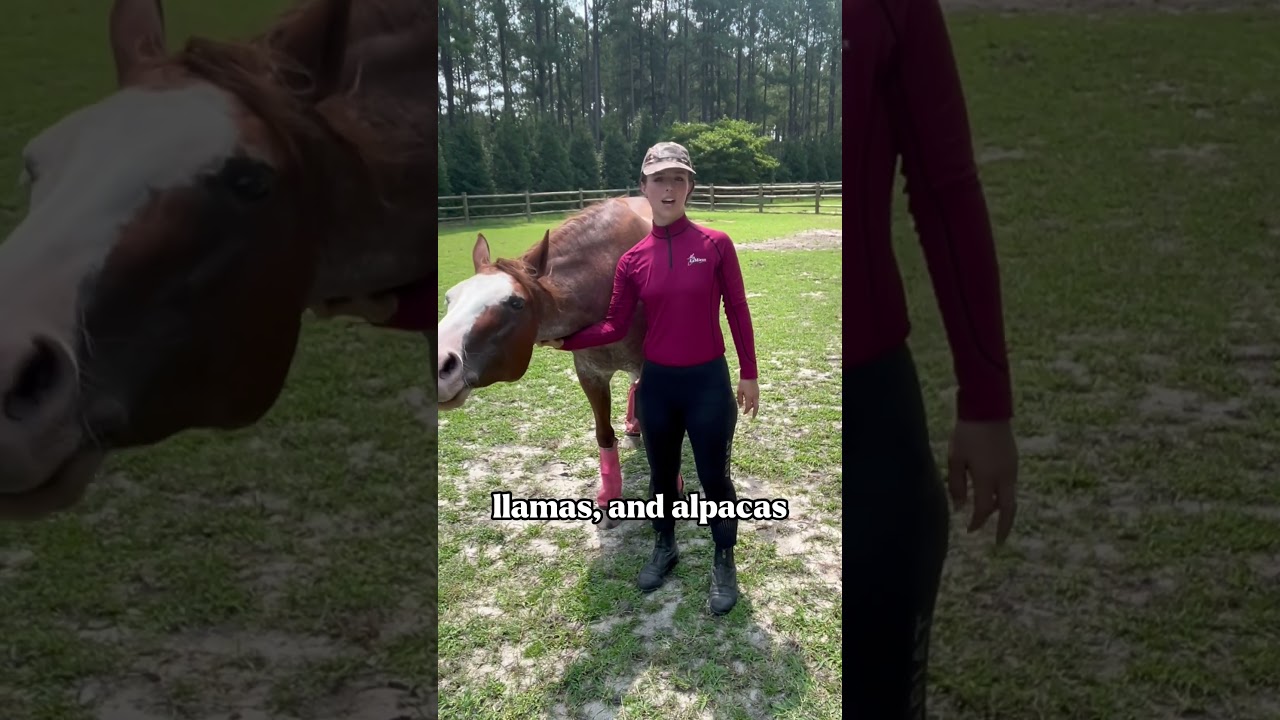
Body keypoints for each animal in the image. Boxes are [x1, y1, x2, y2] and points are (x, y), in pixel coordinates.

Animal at [437, 196, 683, 529]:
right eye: (450, 297)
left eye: (516, 303)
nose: (441, 363)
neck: (606, 280)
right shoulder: (590, 374)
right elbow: (604, 434)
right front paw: (609, 497)